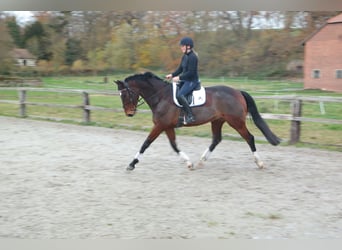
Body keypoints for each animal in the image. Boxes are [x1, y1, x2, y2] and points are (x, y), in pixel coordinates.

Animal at [115, 71, 280, 171]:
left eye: (126, 94)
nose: (129, 113)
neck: (161, 96)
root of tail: (238, 92)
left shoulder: (160, 125)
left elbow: (146, 143)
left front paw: (131, 164)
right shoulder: (167, 126)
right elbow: (174, 145)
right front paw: (189, 163)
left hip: (236, 122)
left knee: (249, 138)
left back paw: (259, 163)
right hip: (217, 121)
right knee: (216, 139)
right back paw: (201, 161)